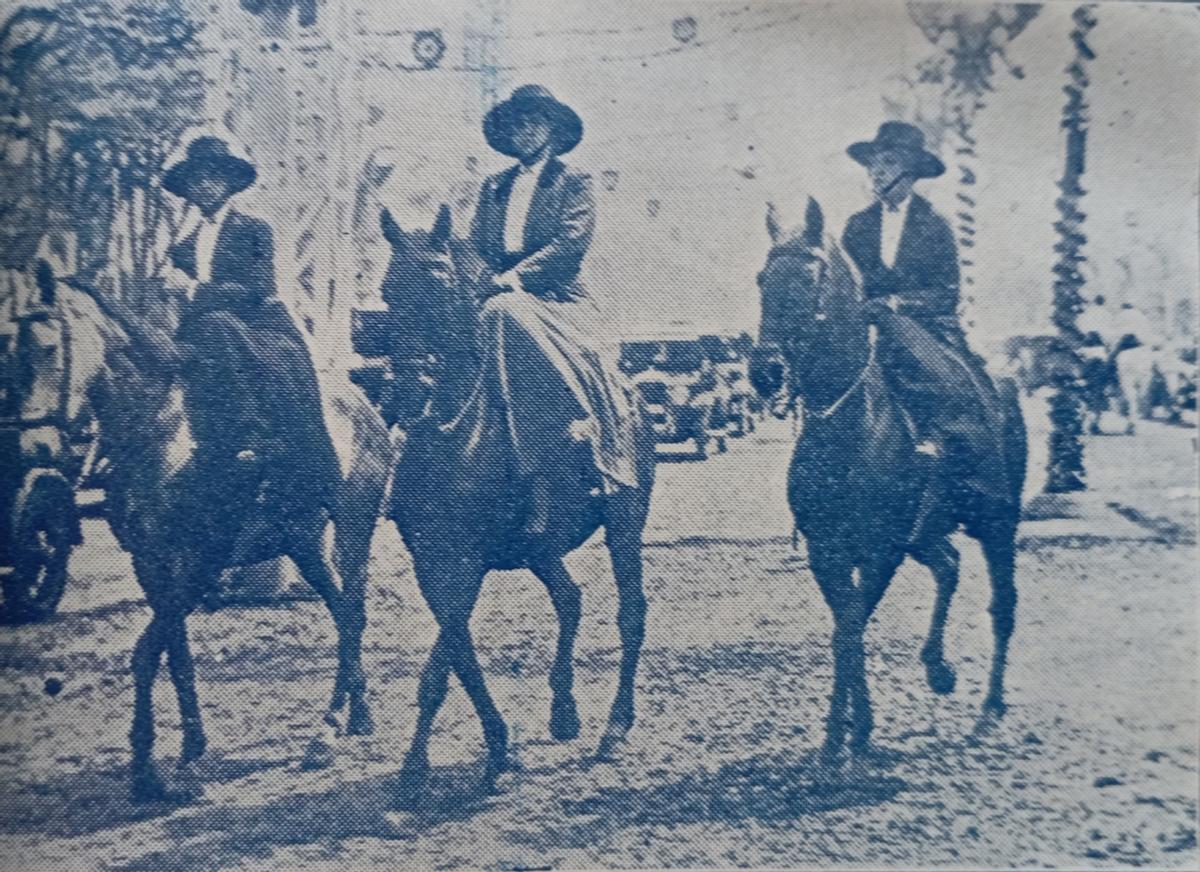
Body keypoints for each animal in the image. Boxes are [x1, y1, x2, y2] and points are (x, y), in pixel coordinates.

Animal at [376, 205, 652, 796]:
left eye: (438, 282)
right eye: (388, 289)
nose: (407, 391)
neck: (454, 435)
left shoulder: (466, 561)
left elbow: (455, 650)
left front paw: (500, 751)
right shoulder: (435, 562)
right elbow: (451, 655)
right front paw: (418, 762)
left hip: (624, 523)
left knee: (631, 614)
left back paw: (614, 728)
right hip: (539, 550)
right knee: (569, 599)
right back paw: (564, 712)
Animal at [748, 199, 1022, 772]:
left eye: (810, 279)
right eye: (762, 278)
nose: (765, 373)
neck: (850, 426)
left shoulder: (881, 549)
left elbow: (851, 625)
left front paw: (857, 732)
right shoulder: (827, 551)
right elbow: (845, 629)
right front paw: (840, 733)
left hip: (997, 521)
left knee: (1003, 604)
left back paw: (990, 707)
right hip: (926, 532)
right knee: (948, 564)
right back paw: (938, 669)